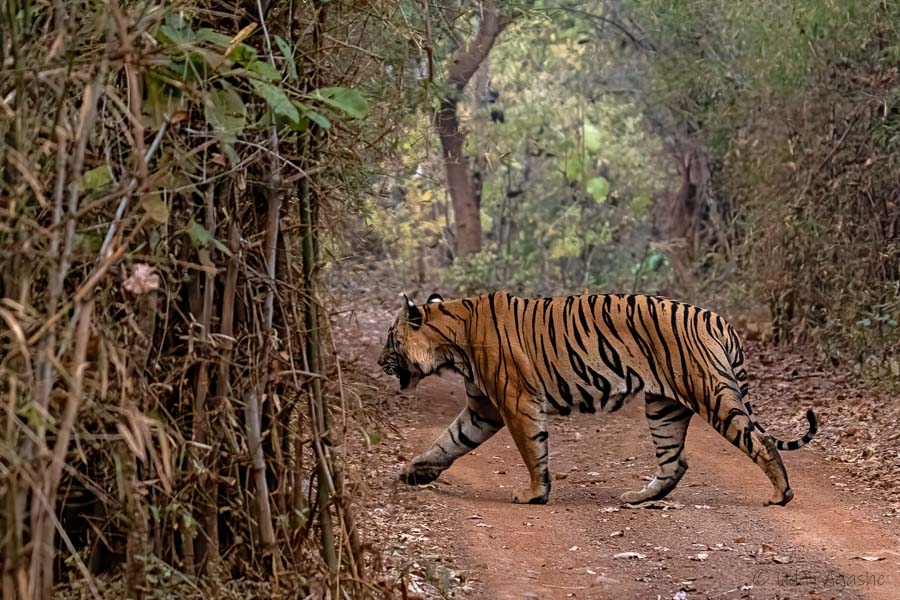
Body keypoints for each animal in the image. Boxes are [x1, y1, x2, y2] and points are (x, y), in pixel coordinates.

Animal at [376, 290, 820, 506]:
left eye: (389, 339)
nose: (379, 361)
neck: (453, 343)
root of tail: (718, 318)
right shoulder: (482, 408)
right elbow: (448, 441)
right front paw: (414, 471)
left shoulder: (516, 402)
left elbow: (532, 451)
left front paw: (534, 495)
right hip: (663, 407)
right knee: (675, 462)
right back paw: (640, 498)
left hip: (711, 393)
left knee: (759, 441)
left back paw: (781, 495)